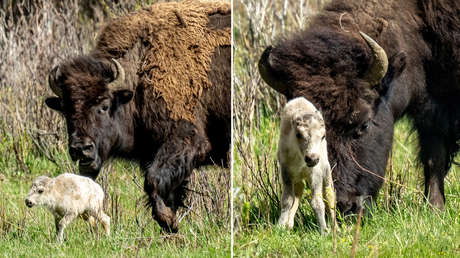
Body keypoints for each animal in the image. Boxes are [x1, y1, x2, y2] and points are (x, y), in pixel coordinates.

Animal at [43, 0, 230, 233]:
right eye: (65, 110)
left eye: (104, 105)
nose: (81, 148)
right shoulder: (153, 153)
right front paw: (170, 223)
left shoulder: (187, 140)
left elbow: (153, 181)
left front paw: (168, 221)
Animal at [258, 0, 460, 214]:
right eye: (300, 133)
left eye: (364, 124)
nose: (345, 205)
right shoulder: (431, 112)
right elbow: (433, 157)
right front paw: (434, 207)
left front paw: (434, 208)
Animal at [276, 97, 338, 234]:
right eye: (299, 134)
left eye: (323, 136)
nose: (312, 159)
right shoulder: (286, 172)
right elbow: (287, 200)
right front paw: (280, 226)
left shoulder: (316, 173)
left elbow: (317, 202)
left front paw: (324, 230)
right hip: (298, 178)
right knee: (299, 191)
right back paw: (289, 224)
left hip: (326, 171)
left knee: (329, 196)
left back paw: (336, 228)